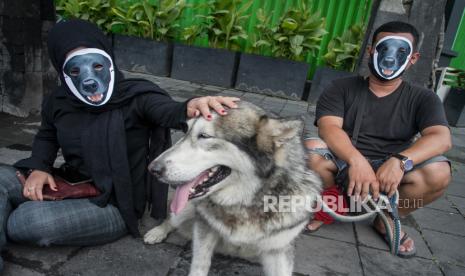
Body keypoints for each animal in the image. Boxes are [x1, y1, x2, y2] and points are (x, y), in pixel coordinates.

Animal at [143, 102, 320, 276]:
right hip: (185, 210)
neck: (244, 203)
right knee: (170, 219)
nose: (152, 169)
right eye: (185, 131)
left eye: (204, 136)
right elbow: (199, 266)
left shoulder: (279, 250)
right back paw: (156, 232)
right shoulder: (204, 230)